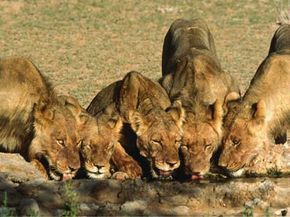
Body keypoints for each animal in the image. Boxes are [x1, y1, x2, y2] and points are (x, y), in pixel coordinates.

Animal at [160, 18, 239, 179]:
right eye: (184, 146)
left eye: (207, 145)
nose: (196, 172)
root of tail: (187, 20)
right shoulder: (165, 84)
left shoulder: (229, 82)